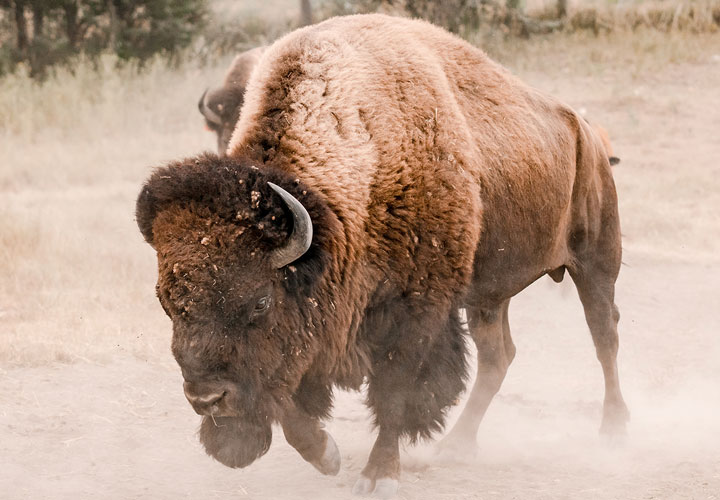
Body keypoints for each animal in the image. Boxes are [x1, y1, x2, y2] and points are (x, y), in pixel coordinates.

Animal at [137, 14, 629, 498]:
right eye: (166, 303)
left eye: (260, 301)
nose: (206, 399)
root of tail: (586, 133)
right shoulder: (313, 334)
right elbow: (290, 406)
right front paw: (328, 456)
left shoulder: (415, 313)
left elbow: (396, 393)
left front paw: (380, 475)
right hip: (488, 297)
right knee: (498, 357)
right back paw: (457, 446)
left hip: (596, 263)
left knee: (604, 337)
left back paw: (613, 432)